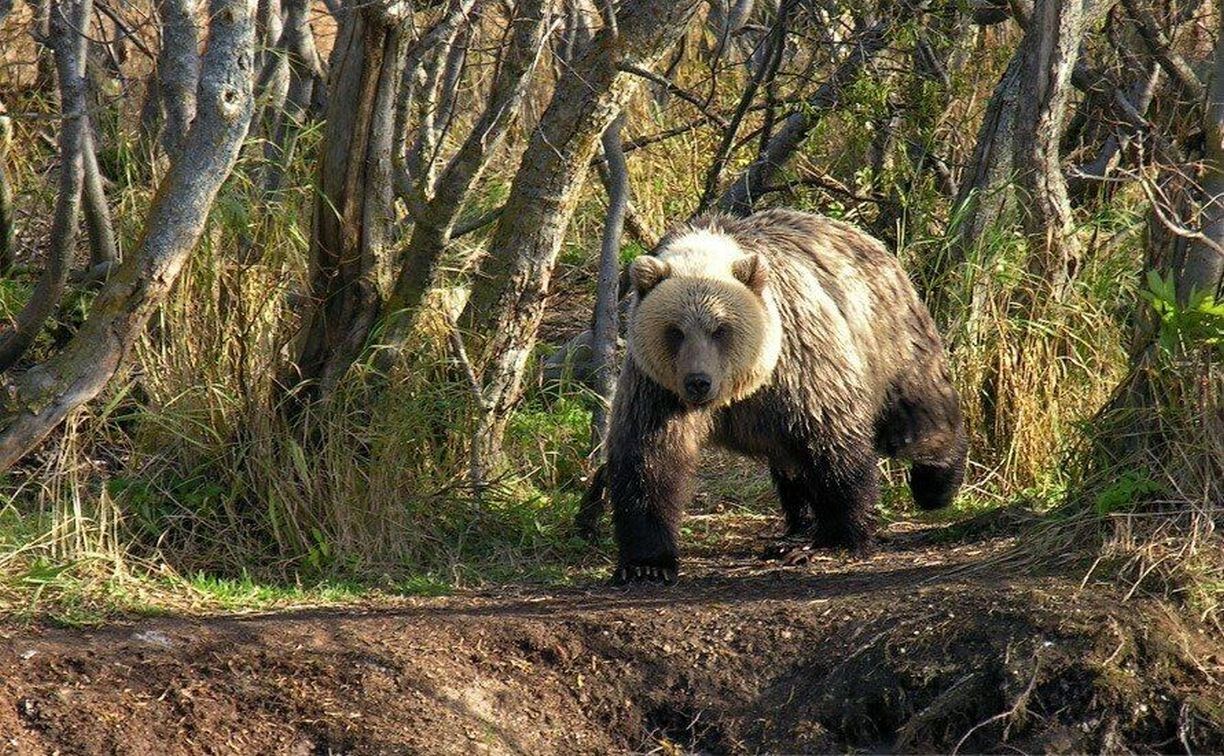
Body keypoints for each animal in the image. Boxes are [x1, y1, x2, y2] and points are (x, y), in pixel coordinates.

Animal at [603, 208, 966, 583]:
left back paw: (936, 483)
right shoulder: (657, 389)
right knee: (791, 464)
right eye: (675, 330)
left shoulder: (798, 363)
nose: (698, 382)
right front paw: (646, 563)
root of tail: (869, 241)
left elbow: (832, 443)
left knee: (917, 412)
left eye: (720, 329)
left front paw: (841, 536)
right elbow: (650, 457)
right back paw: (795, 527)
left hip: (888, 337)